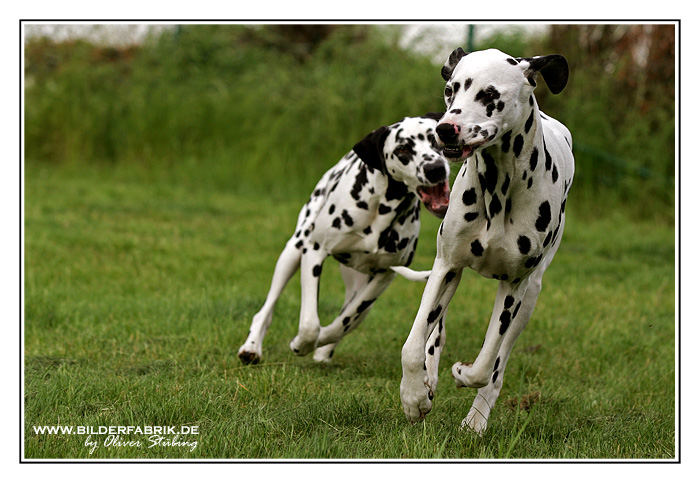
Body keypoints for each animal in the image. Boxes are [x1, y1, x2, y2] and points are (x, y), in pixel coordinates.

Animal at [238, 116, 452, 366]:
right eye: (403, 149)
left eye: (435, 139)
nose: (435, 168)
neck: (381, 211)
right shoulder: (314, 251)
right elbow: (310, 324)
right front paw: (301, 343)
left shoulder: (384, 275)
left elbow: (345, 322)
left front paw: (321, 341)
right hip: (292, 252)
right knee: (266, 310)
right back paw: (252, 347)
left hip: (360, 284)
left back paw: (323, 352)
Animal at [400, 48, 576, 434]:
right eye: (450, 90)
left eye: (490, 95)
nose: (445, 129)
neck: (499, 187)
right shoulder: (446, 266)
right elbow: (414, 343)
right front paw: (414, 397)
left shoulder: (514, 285)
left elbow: (485, 366)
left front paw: (463, 375)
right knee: (435, 333)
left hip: (530, 297)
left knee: (497, 365)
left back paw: (476, 419)